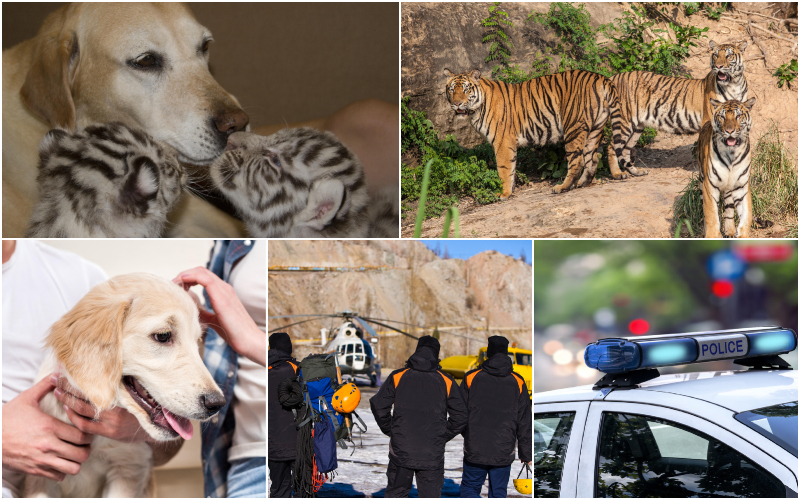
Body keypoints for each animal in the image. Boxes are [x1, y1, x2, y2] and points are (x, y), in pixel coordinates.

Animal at [444, 69, 624, 197]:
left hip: (573, 127)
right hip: (596, 128)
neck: (475, 110)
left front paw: (504, 194)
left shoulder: (502, 142)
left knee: (577, 161)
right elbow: (511, 169)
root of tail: (600, 77)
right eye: (452, 90)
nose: (457, 104)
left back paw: (562, 187)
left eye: (466, 90)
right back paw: (583, 183)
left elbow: (504, 169)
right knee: (593, 158)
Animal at [608, 41, 748, 178]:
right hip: (625, 121)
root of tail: (613, 77)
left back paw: (635, 172)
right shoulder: (711, 120)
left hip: (637, 127)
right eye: (716, 55)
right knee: (612, 146)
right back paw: (618, 174)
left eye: (728, 56)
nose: (718, 66)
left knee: (625, 149)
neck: (734, 85)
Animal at [696, 98, 752, 240]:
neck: (731, 153)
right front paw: (712, 235)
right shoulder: (710, 185)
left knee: (729, 209)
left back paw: (730, 231)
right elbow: (711, 214)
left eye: (738, 116)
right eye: (722, 117)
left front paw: (742, 235)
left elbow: (747, 214)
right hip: (701, 182)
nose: (729, 131)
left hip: (728, 190)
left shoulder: (741, 186)